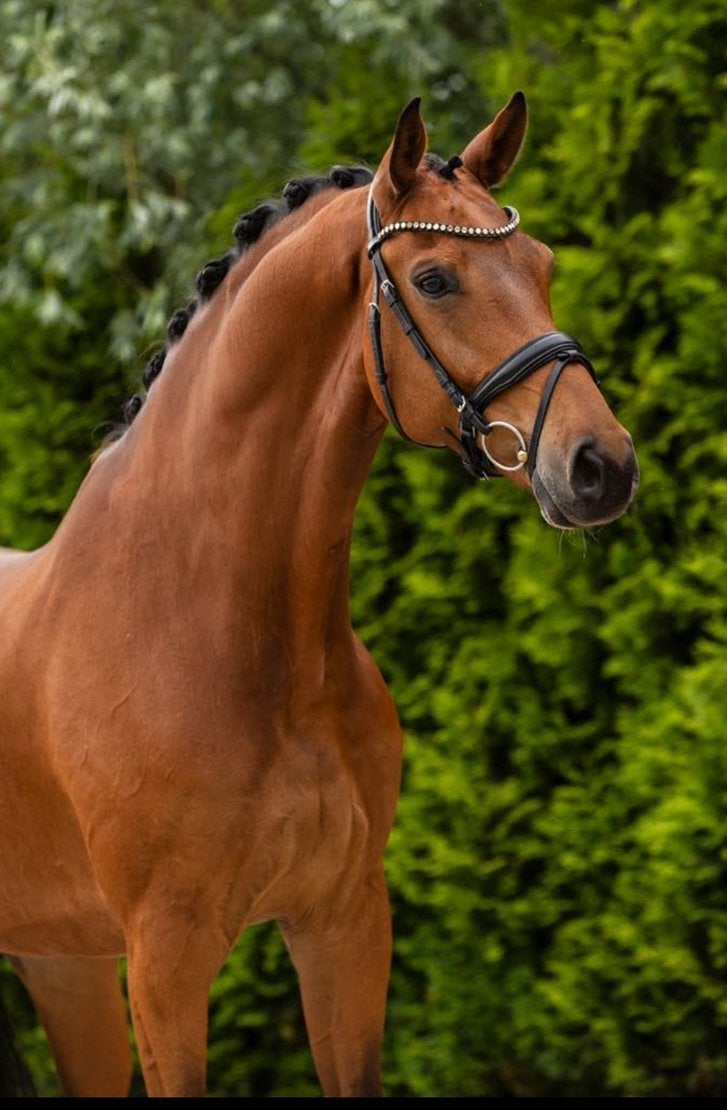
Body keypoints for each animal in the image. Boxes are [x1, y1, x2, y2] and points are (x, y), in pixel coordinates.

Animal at [0, 93, 638, 1097]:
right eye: (434, 279)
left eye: (541, 266)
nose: (599, 466)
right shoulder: (166, 960)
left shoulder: (345, 924)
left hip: (63, 963)